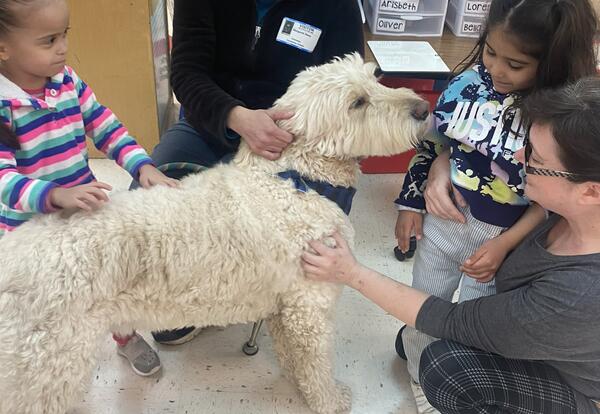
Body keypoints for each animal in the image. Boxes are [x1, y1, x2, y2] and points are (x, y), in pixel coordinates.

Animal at [0, 53, 432, 412]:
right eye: (357, 102)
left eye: (375, 79)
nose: (424, 107)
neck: (299, 179)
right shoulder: (310, 306)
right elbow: (317, 362)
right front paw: (329, 399)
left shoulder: (286, 306)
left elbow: (293, 355)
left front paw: (297, 383)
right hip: (46, 368)